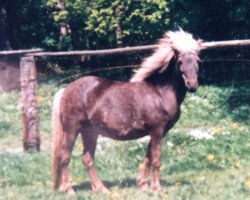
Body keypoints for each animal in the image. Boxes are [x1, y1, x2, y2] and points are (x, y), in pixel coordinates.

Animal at [51, 29, 202, 194]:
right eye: (180, 61)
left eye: (198, 61)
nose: (192, 85)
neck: (160, 92)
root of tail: (66, 89)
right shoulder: (157, 131)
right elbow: (156, 159)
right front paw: (157, 188)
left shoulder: (155, 133)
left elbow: (148, 157)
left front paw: (143, 184)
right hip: (72, 130)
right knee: (64, 156)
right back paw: (69, 190)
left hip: (90, 132)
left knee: (87, 158)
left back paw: (101, 188)